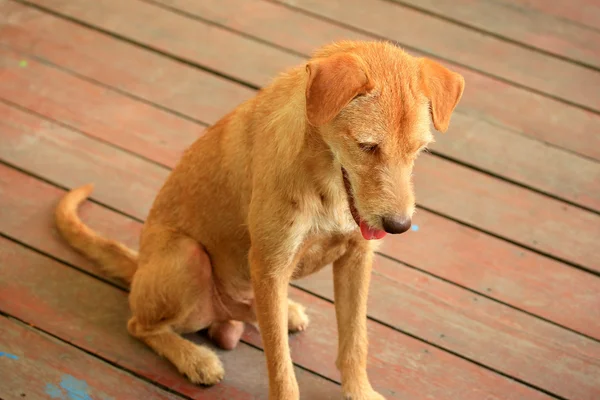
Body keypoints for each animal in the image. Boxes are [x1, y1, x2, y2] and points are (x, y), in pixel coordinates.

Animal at [55, 41, 464, 400]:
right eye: (367, 146)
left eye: (419, 150)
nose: (398, 225)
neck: (326, 179)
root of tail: (139, 266)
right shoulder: (270, 266)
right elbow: (282, 368)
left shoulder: (356, 260)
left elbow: (355, 341)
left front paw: (359, 391)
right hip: (188, 258)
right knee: (138, 325)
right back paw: (195, 358)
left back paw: (284, 312)